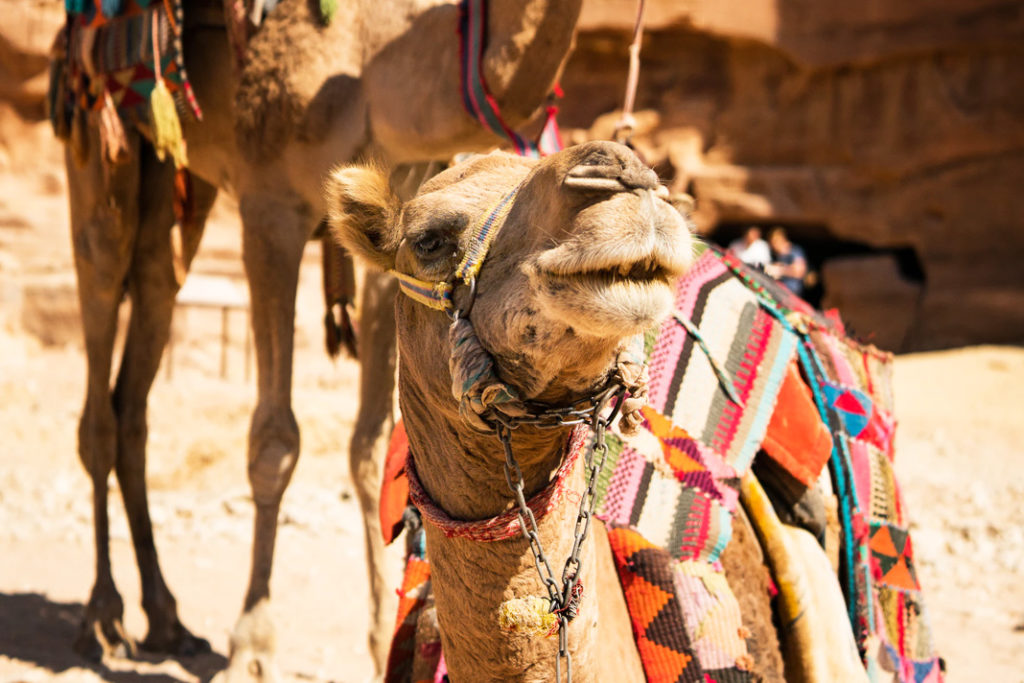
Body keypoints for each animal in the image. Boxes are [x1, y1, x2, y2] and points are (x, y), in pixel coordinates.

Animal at [59, 0, 581, 678]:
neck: (375, 57)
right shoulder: (270, 204)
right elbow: (274, 442)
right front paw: (252, 644)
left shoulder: (396, 242)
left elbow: (372, 447)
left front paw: (383, 638)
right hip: (98, 139)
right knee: (101, 316)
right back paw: (102, 617)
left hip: (178, 189)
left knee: (147, 320)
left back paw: (166, 619)